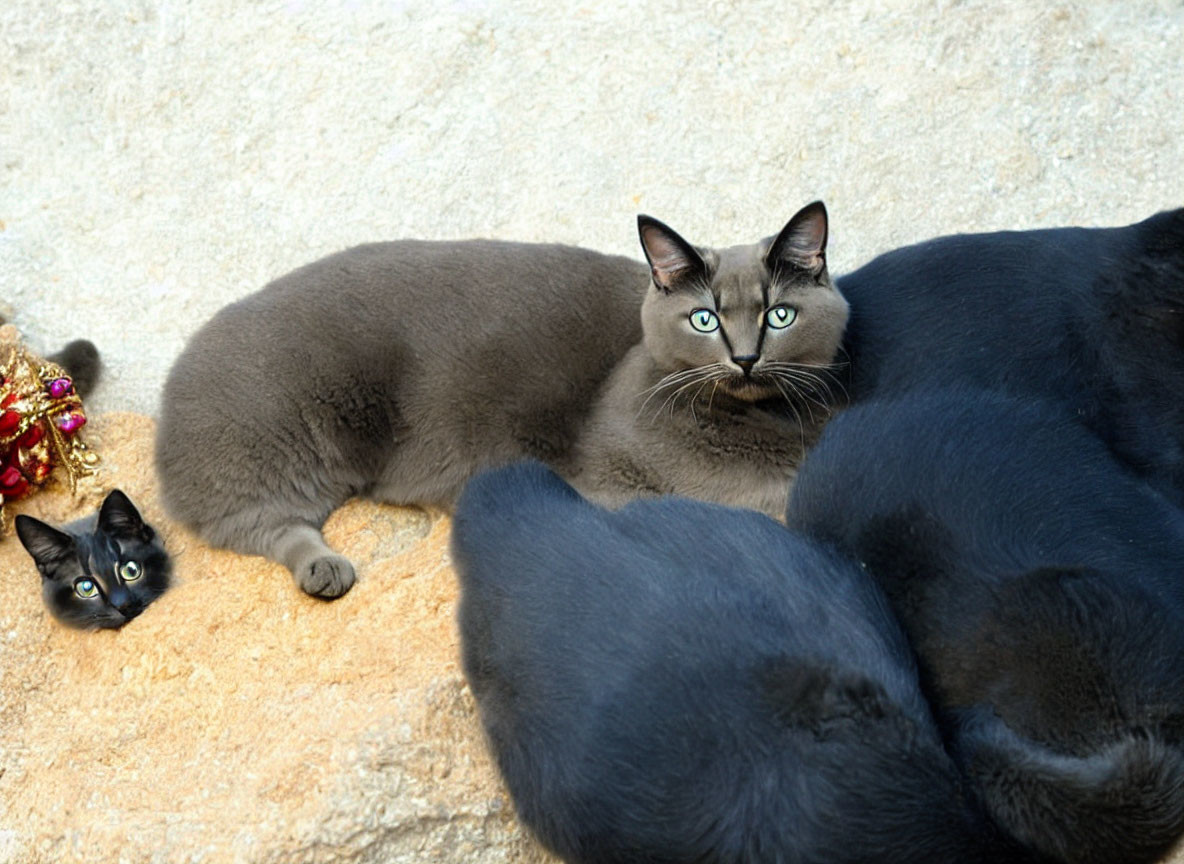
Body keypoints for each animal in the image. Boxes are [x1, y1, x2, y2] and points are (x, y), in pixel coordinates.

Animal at [157, 204, 847, 596]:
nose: (747, 357)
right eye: (705, 319)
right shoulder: (615, 476)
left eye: (779, 314)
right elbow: (752, 500)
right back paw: (323, 569)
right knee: (260, 523)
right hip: (272, 447)